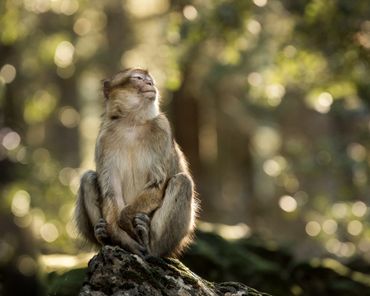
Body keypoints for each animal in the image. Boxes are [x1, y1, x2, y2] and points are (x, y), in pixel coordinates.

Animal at [73, 67, 198, 256]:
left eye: (150, 79)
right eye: (138, 78)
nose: (150, 83)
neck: (132, 122)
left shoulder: (162, 128)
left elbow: (158, 184)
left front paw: (125, 220)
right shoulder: (104, 139)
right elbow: (111, 191)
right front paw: (121, 236)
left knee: (182, 181)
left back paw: (151, 245)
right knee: (87, 178)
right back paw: (106, 238)